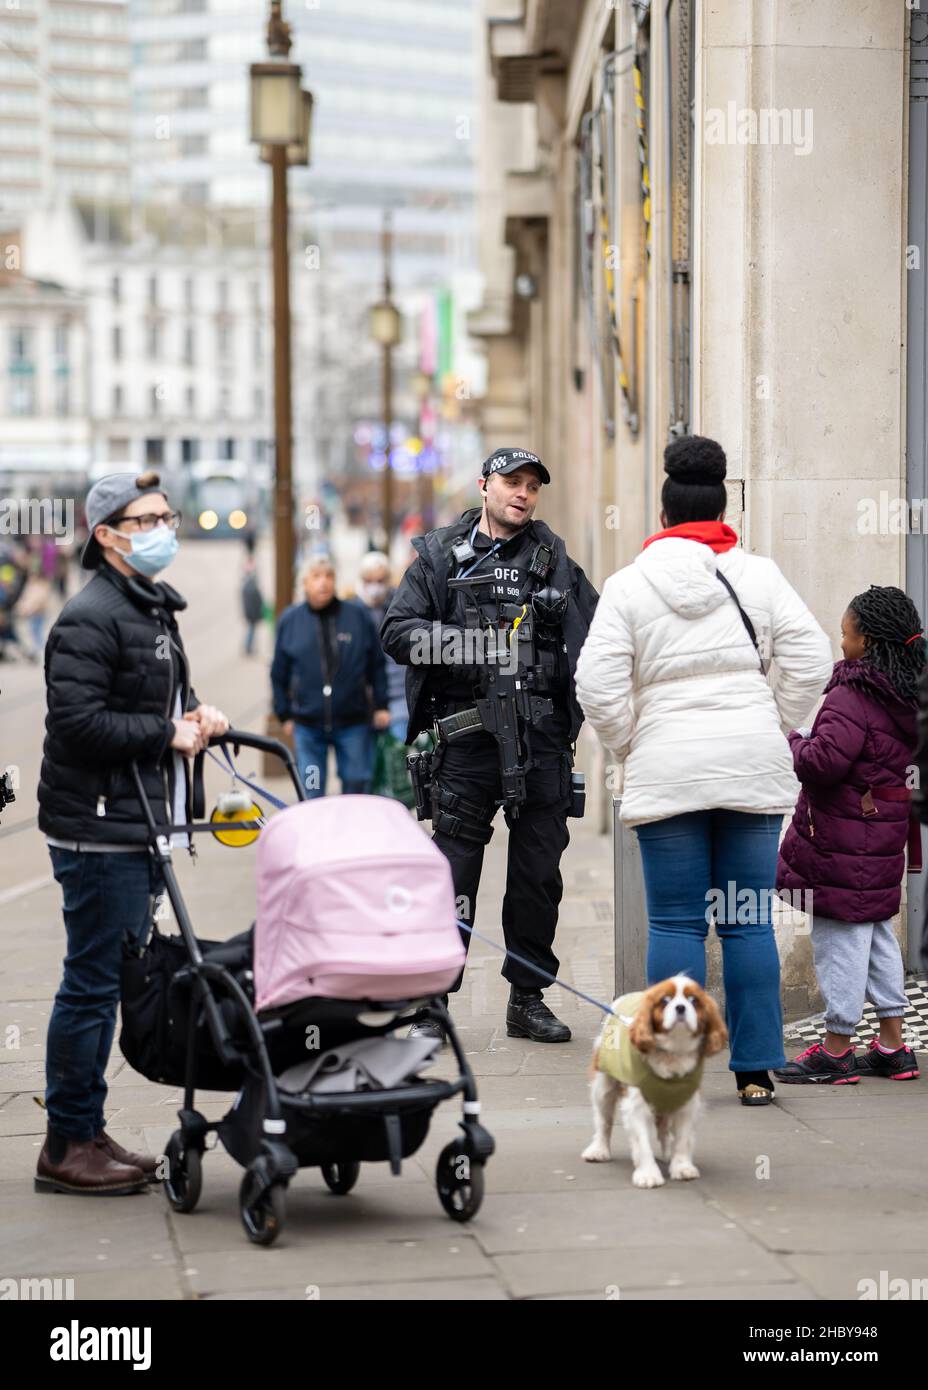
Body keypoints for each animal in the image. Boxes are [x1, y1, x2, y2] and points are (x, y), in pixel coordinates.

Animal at [580, 973, 722, 1189]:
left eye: (693, 1000)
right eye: (665, 1000)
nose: (680, 1008)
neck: (672, 1052)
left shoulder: (687, 1105)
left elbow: (682, 1139)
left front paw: (681, 1167)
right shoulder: (637, 1106)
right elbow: (642, 1142)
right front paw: (648, 1174)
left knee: (663, 1130)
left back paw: (667, 1153)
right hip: (603, 1087)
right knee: (604, 1121)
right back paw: (599, 1150)